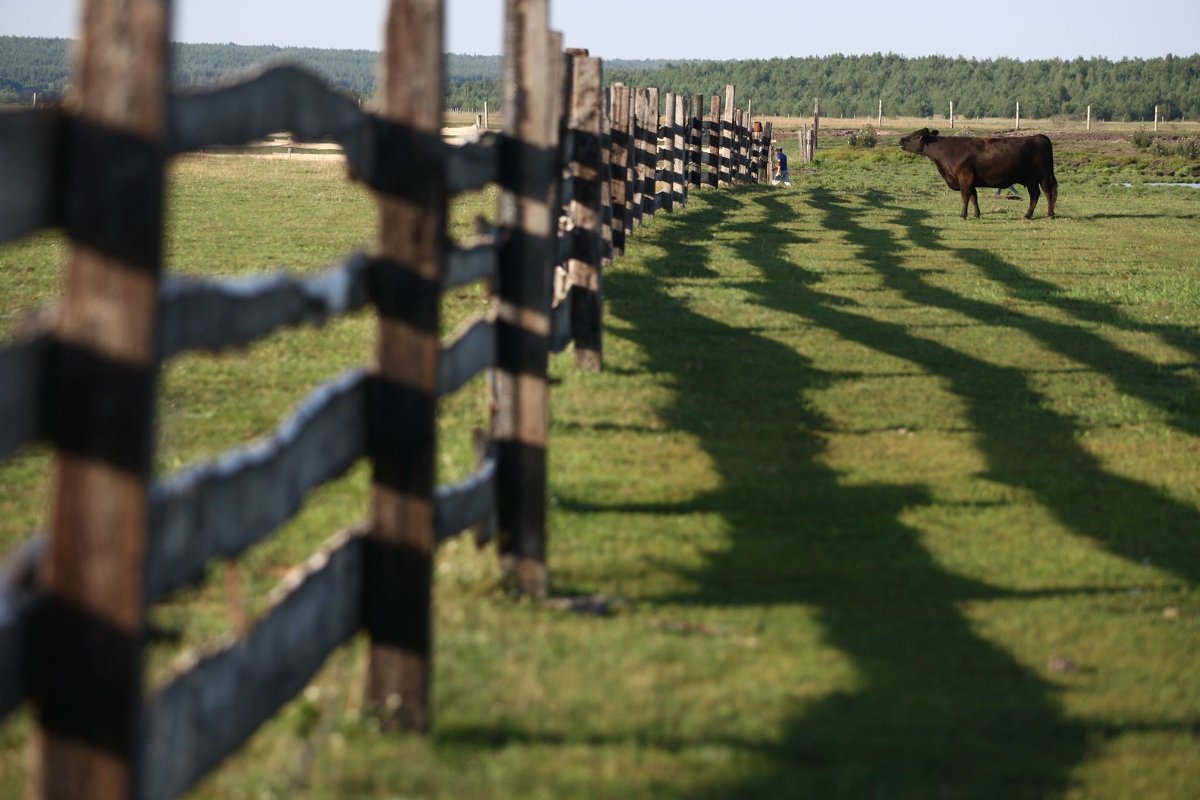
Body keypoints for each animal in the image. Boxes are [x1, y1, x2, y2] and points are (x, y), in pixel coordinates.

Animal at [902, 128, 1060, 221]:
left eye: (914, 136)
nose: (901, 139)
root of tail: (1040, 136)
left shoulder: (964, 178)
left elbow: (965, 197)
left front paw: (963, 215)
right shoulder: (970, 180)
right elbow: (974, 197)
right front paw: (977, 214)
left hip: (1044, 177)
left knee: (1048, 193)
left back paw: (1050, 215)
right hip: (1030, 180)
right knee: (1035, 195)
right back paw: (1027, 215)